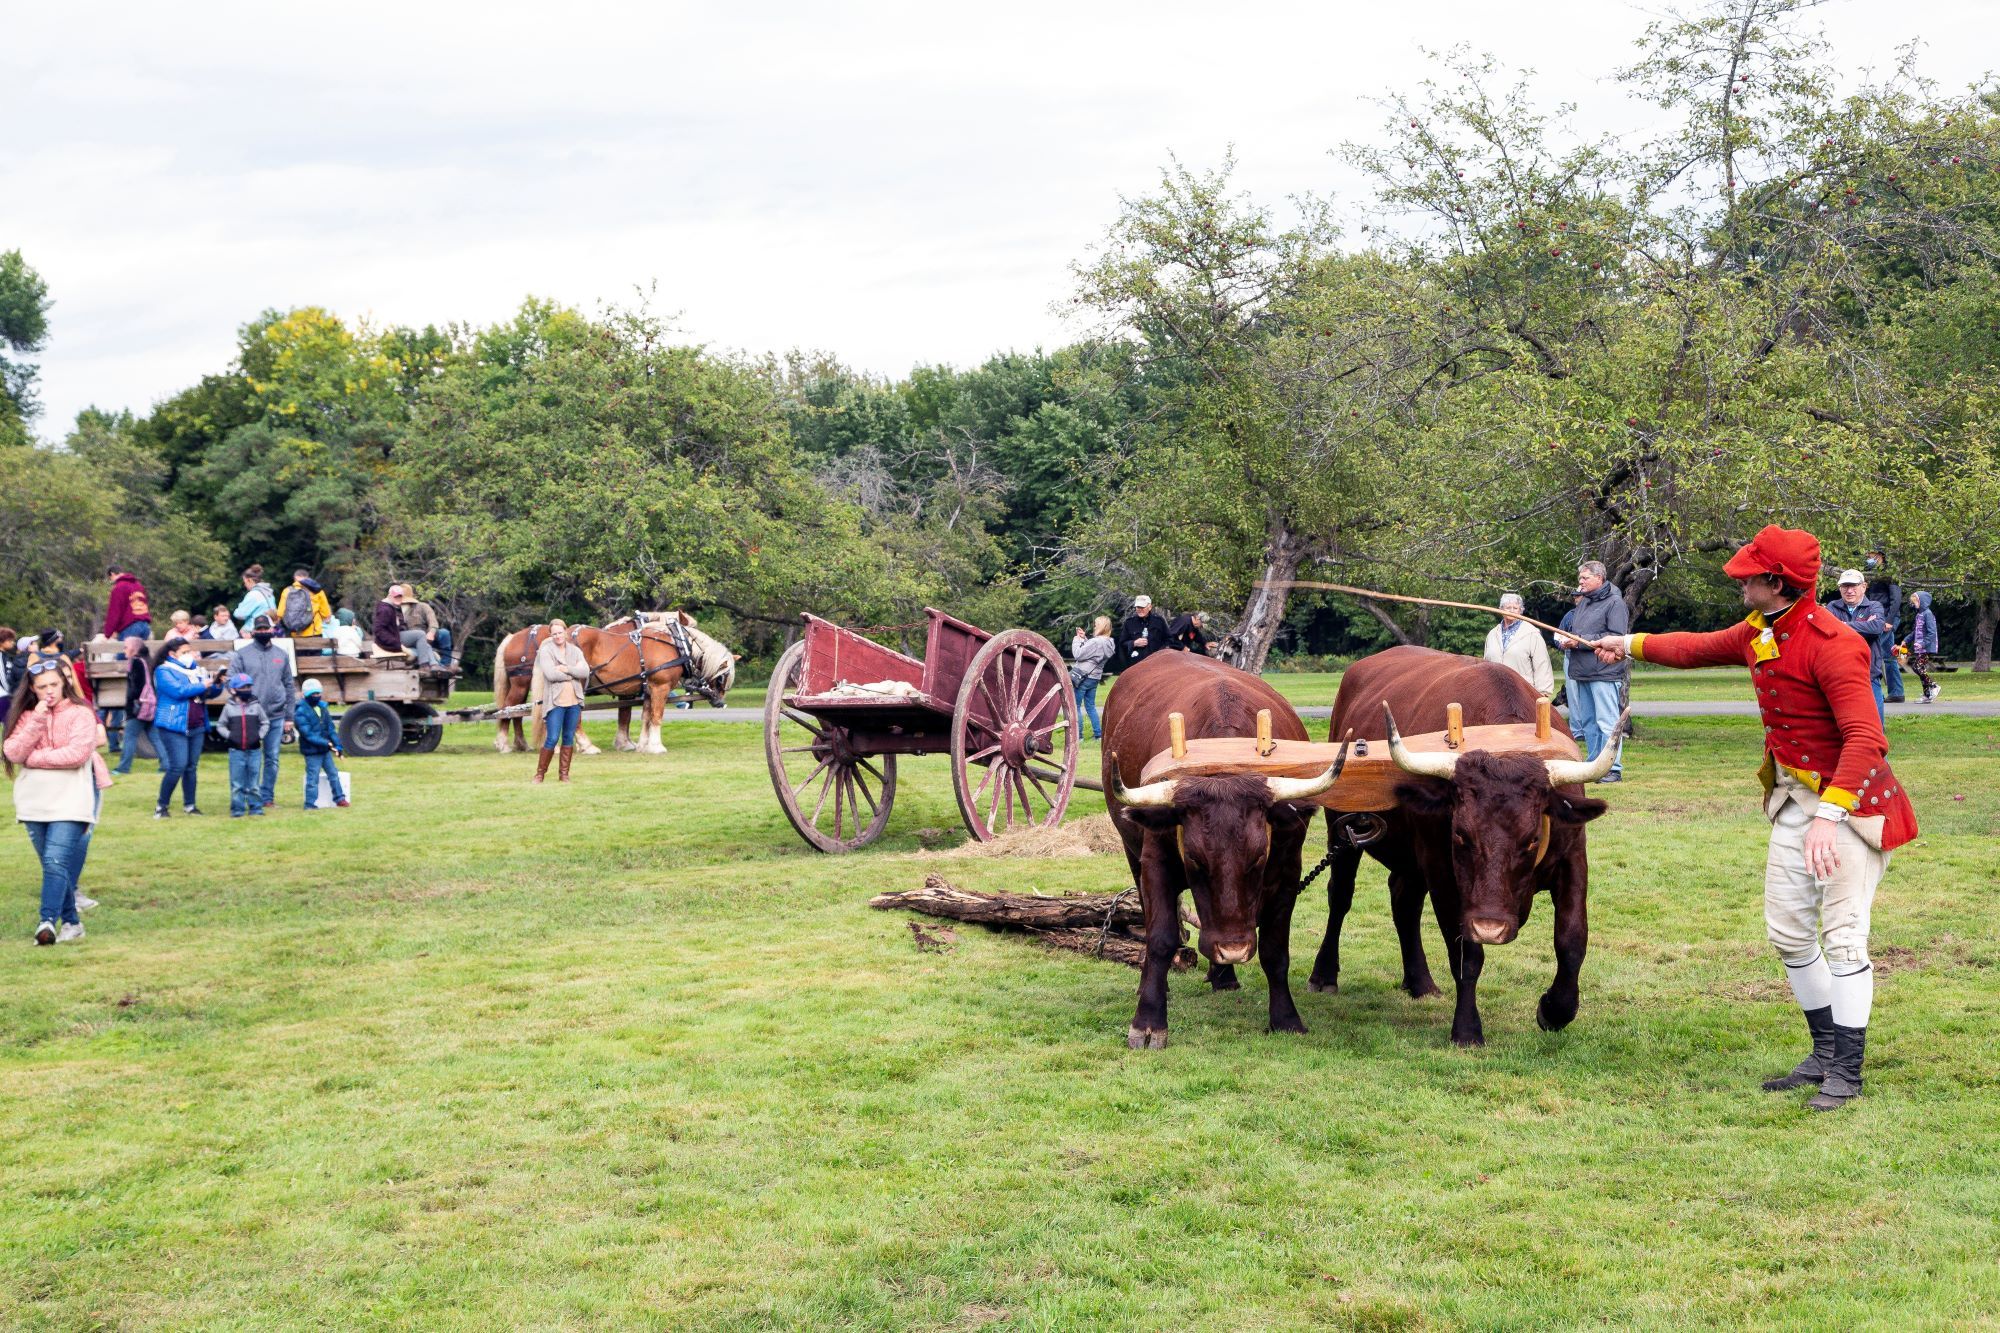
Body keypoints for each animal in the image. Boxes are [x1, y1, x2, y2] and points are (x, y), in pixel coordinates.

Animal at [488, 608, 740, 752]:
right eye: (723, 677)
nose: (720, 702)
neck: (674, 642)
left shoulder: (644, 687)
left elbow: (641, 716)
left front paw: (639, 744)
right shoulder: (658, 687)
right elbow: (651, 716)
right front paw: (653, 746)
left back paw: (523, 744)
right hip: (536, 684)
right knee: (512, 709)